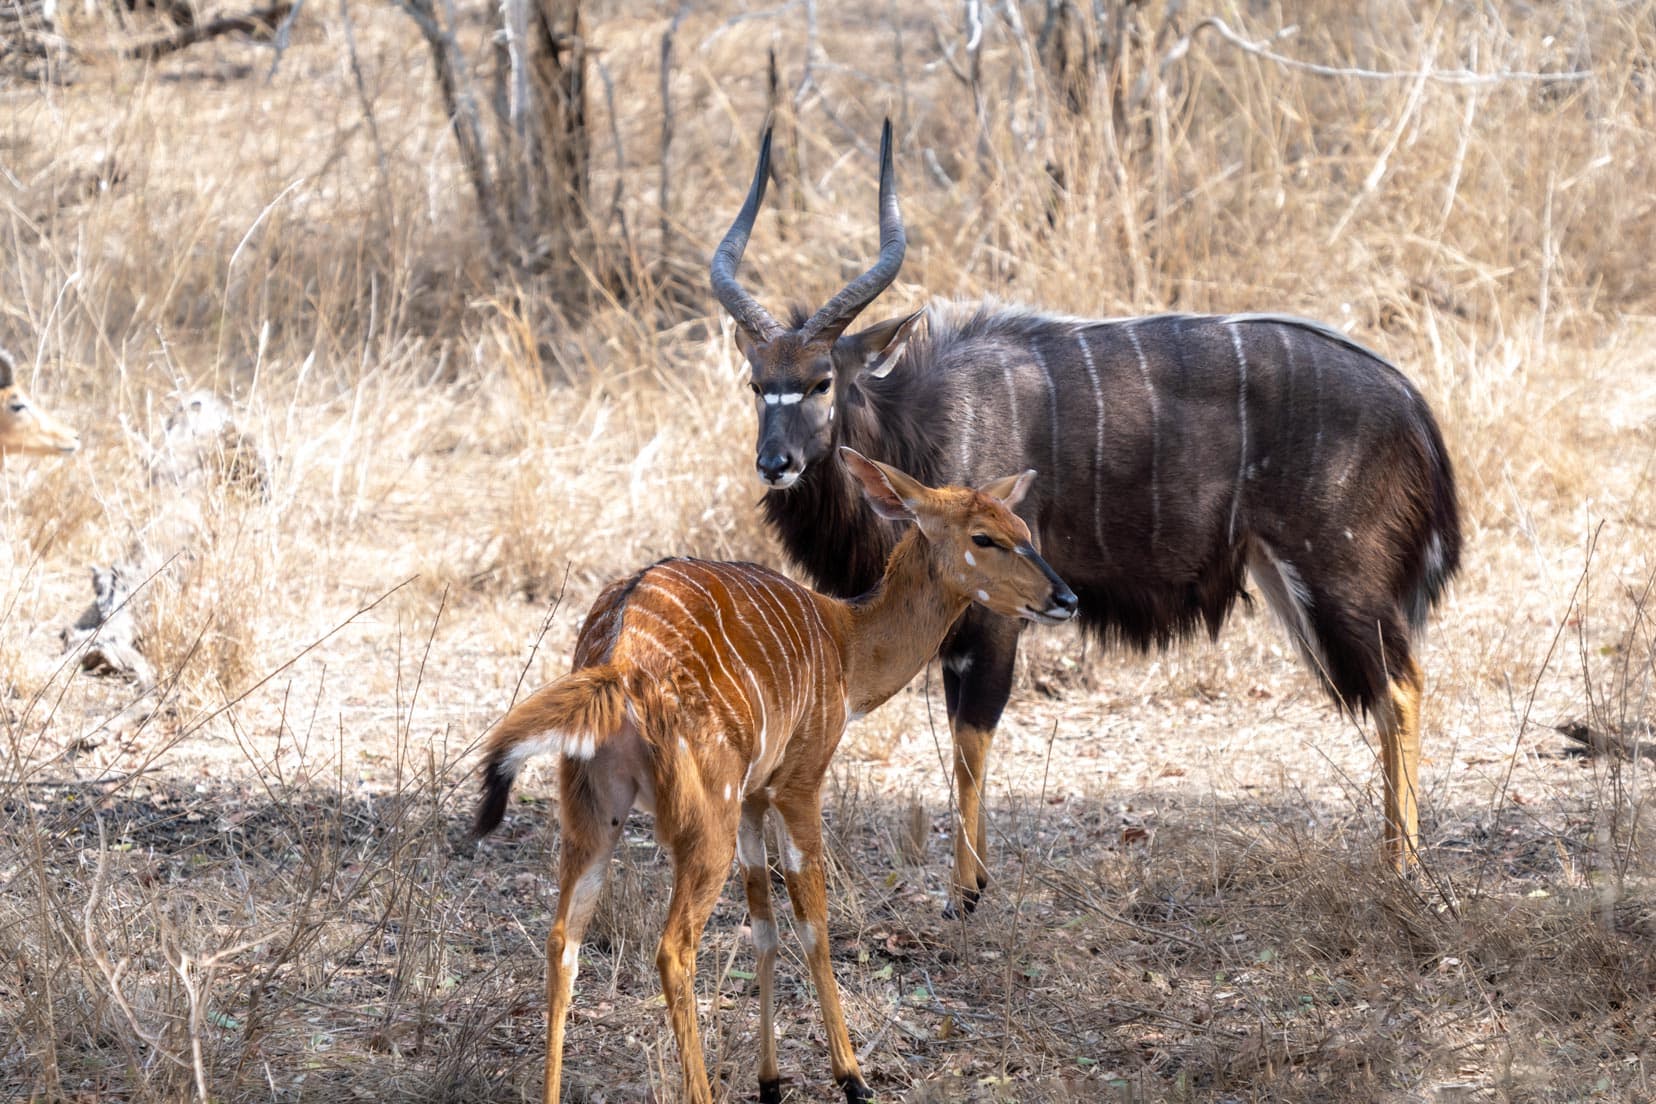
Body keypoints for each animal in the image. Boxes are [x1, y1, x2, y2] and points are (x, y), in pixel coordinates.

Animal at [473, 450, 1079, 1104]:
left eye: (1024, 529)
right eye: (984, 537)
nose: (1066, 597)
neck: (848, 646)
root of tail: (618, 659)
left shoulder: (752, 799)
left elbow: (763, 926)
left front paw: (770, 1081)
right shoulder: (798, 782)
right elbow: (813, 924)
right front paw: (852, 1077)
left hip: (596, 810)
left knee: (564, 939)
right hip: (700, 818)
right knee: (673, 948)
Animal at [712, 120, 1463, 913]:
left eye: (822, 381)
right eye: (758, 384)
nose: (775, 462)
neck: (919, 420)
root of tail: (1414, 410)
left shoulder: (998, 610)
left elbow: (971, 733)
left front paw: (964, 893)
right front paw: (975, 881)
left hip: (1339, 572)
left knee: (1401, 686)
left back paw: (1402, 867)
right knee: (1387, 689)